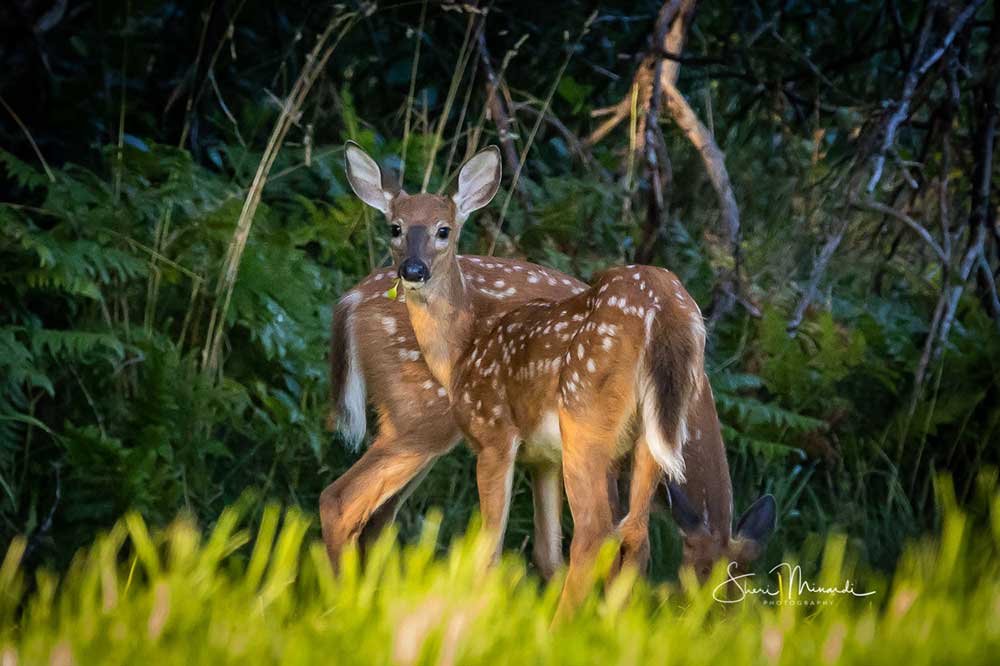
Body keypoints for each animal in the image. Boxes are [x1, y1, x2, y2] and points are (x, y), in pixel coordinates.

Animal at [323, 141, 776, 590]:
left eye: (744, 594)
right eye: (694, 581)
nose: (413, 270)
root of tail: (349, 300)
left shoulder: (541, 452)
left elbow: (560, 552)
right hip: (445, 417)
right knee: (346, 502)